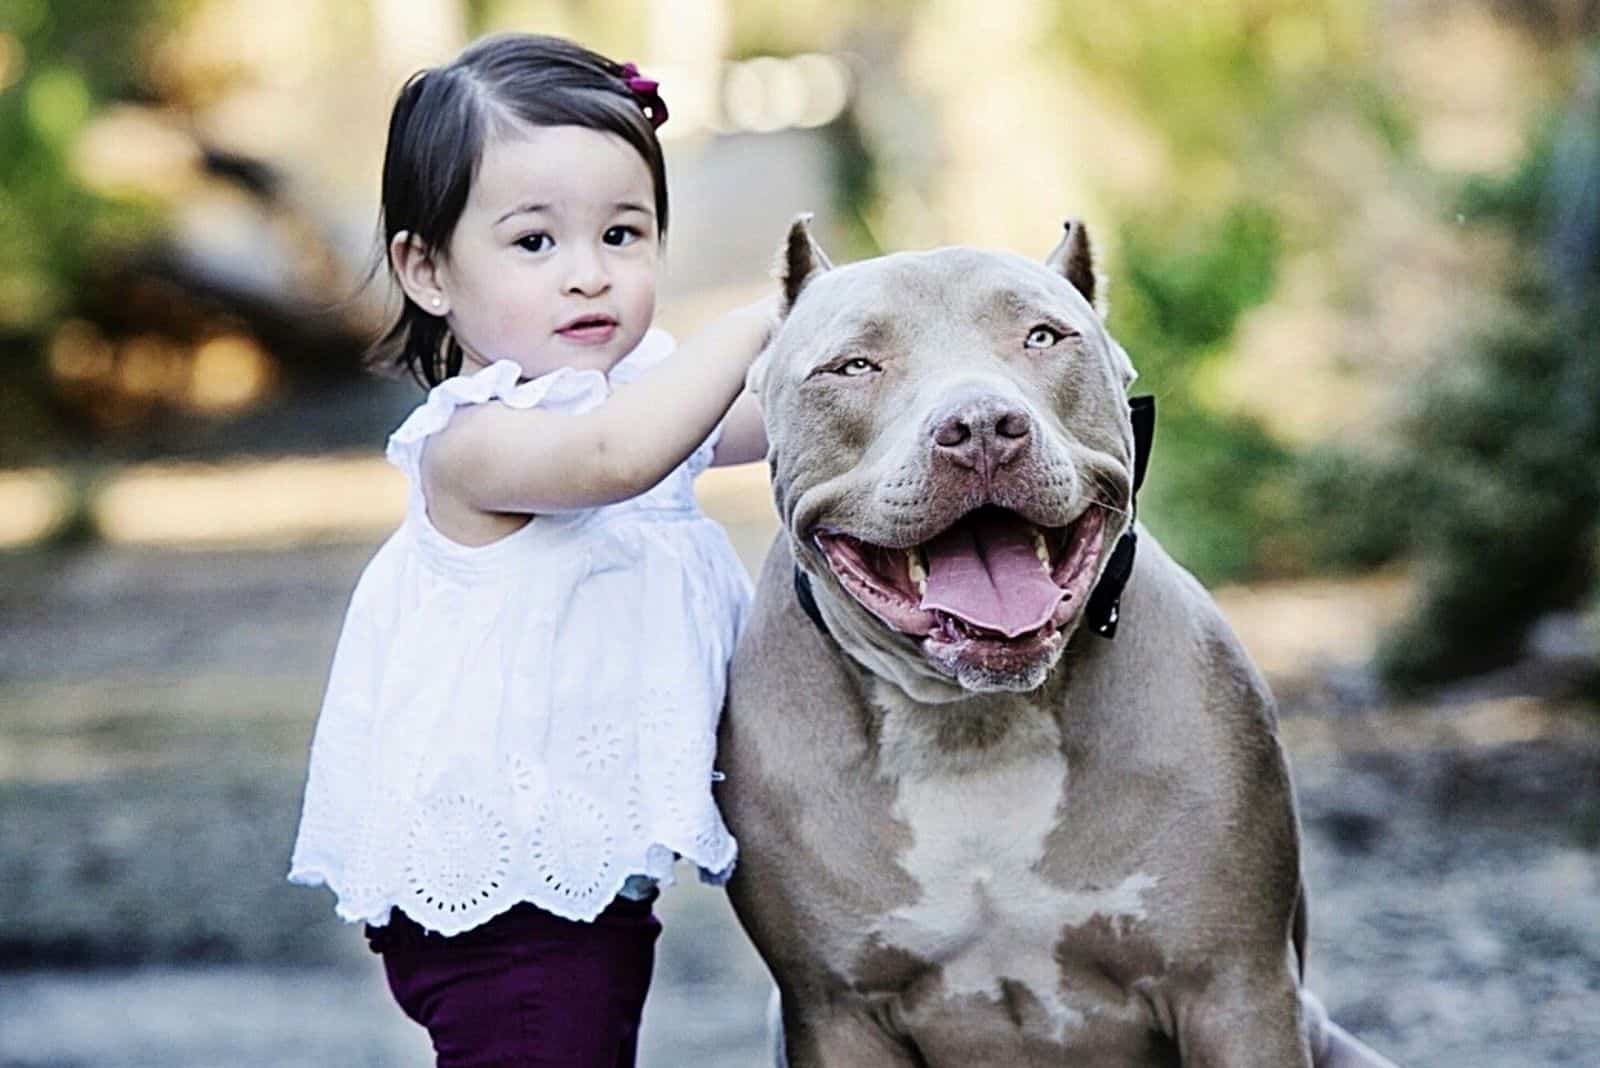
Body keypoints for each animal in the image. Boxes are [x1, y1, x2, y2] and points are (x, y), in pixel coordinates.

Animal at [720, 219, 1395, 1068]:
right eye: (854, 366)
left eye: (1043, 335)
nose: (979, 427)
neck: (973, 725)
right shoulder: (837, 1016)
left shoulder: (1234, 990)